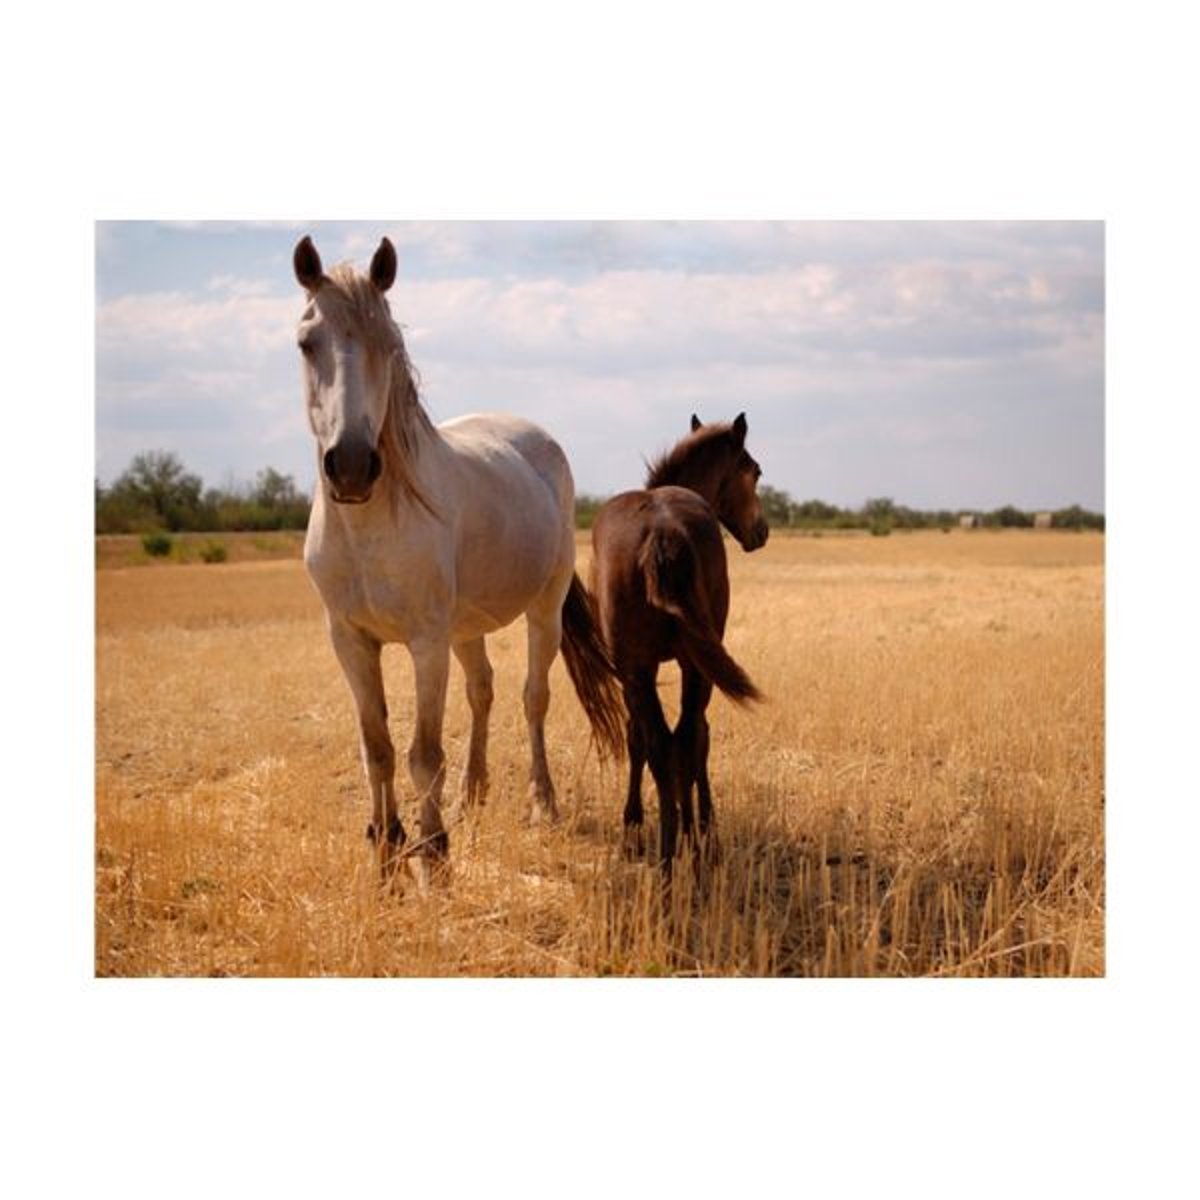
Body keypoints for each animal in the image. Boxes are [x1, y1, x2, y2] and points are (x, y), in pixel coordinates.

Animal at [292, 235, 624, 878]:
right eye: (305, 342)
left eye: (389, 344)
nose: (352, 466)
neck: (372, 526)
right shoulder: (348, 639)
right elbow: (377, 747)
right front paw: (385, 842)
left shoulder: (425, 642)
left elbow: (422, 753)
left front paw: (433, 852)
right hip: (465, 628)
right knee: (483, 692)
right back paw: (474, 793)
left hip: (541, 611)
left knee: (532, 697)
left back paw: (541, 802)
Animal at [589, 413, 769, 872]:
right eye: (755, 470)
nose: (762, 531)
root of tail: (663, 531)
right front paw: (701, 823)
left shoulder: (639, 672)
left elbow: (645, 740)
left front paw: (637, 827)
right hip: (681, 668)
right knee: (681, 740)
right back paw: (683, 843)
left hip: (647, 671)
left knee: (666, 743)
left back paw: (673, 849)